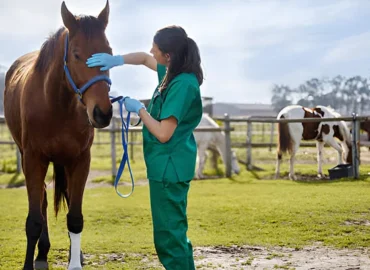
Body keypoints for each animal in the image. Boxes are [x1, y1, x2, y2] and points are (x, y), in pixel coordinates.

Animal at [3, 1, 112, 268]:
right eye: (76, 54)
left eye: (108, 51)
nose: (102, 112)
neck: (56, 105)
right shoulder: (33, 159)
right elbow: (33, 220)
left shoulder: (81, 160)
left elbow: (75, 217)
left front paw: (76, 260)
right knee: (42, 198)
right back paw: (42, 253)